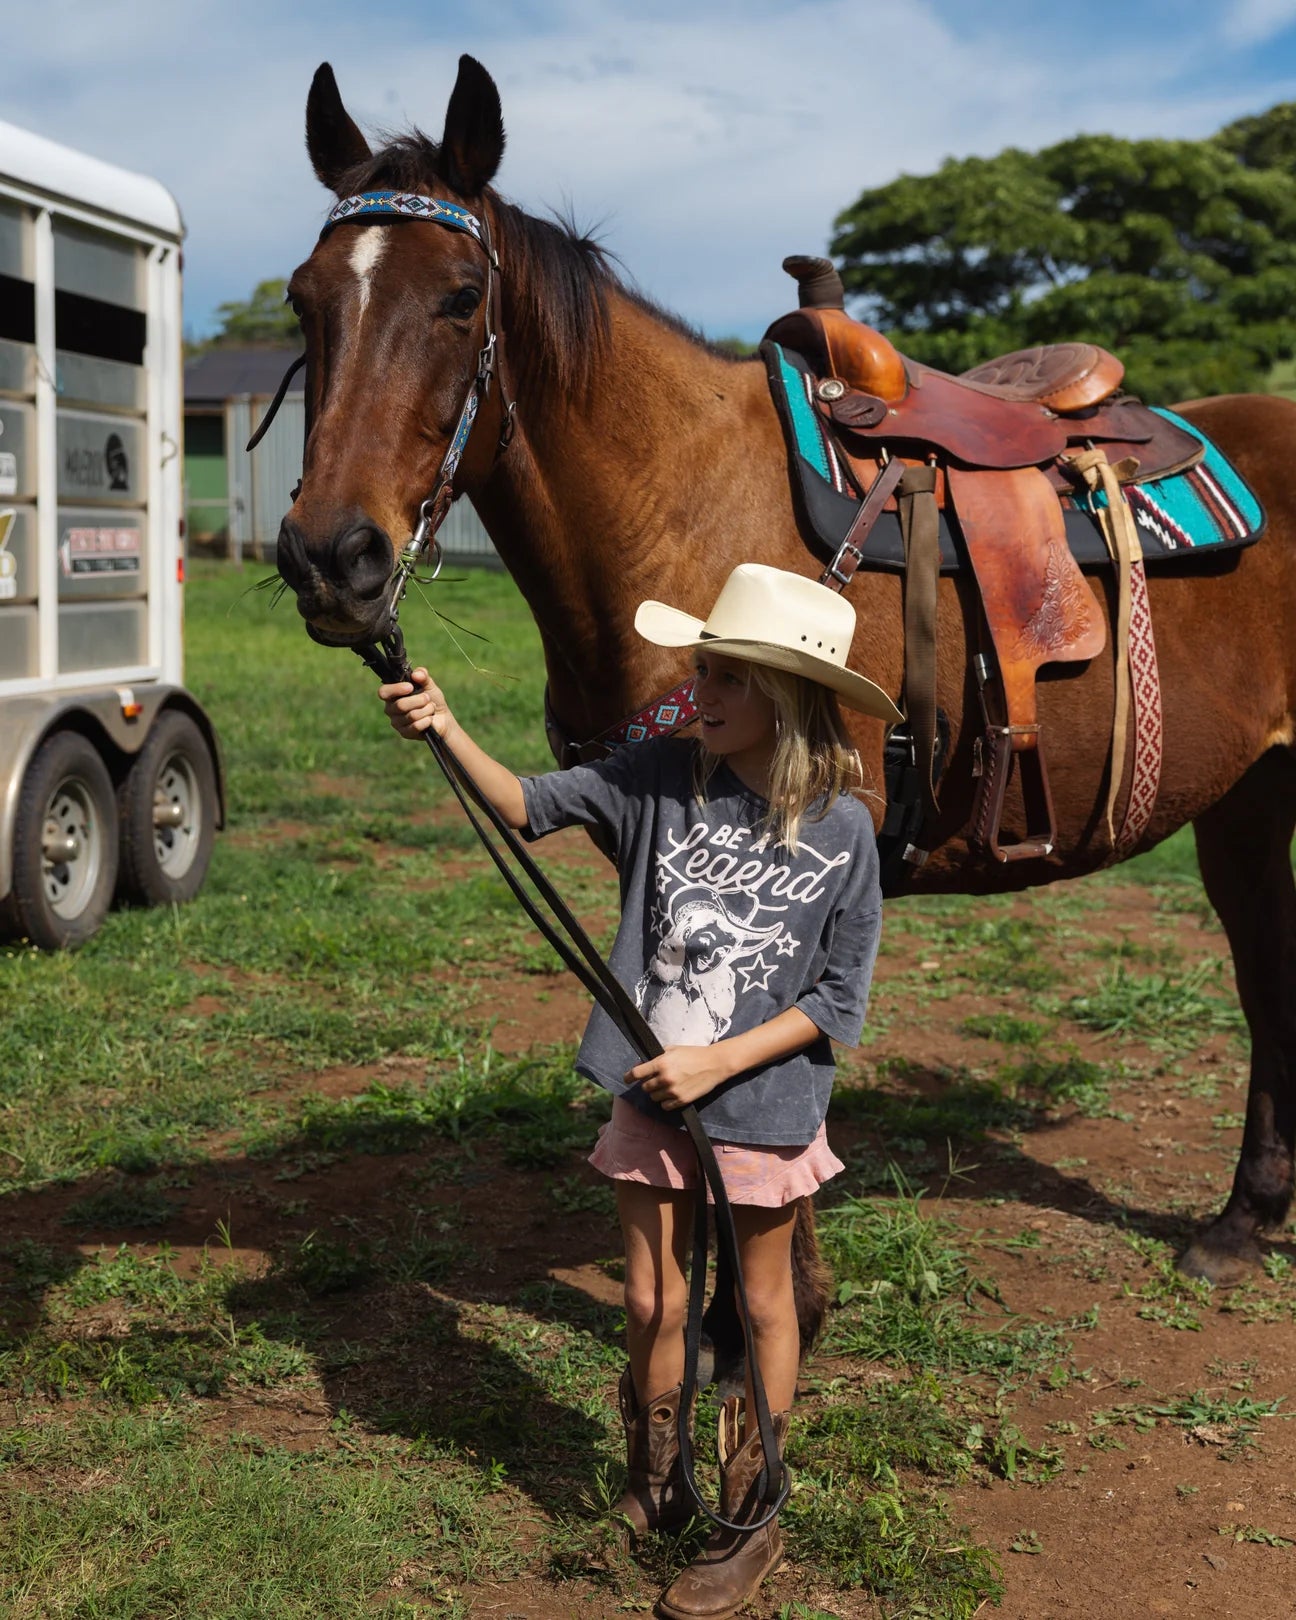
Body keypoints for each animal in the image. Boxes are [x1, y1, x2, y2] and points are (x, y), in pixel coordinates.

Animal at [273, 53, 1296, 1354]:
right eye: (305, 300)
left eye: (460, 298)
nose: (332, 558)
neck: (689, 511)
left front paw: (770, 1318)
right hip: (1249, 796)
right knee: (1268, 971)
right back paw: (1241, 1221)